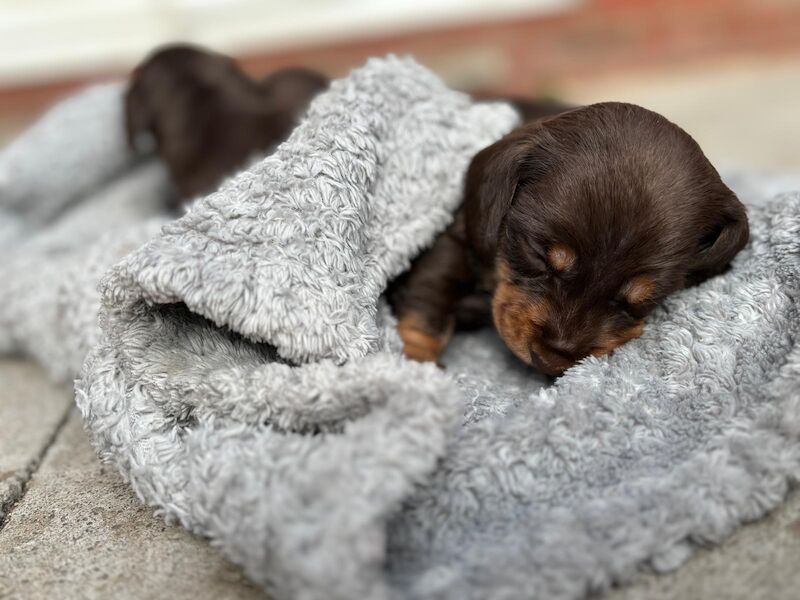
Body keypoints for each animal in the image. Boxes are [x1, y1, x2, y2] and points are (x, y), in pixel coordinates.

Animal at [390, 103, 752, 376]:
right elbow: (430, 298)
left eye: (641, 301)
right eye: (538, 255)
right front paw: (415, 364)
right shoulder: (454, 239)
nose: (549, 362)